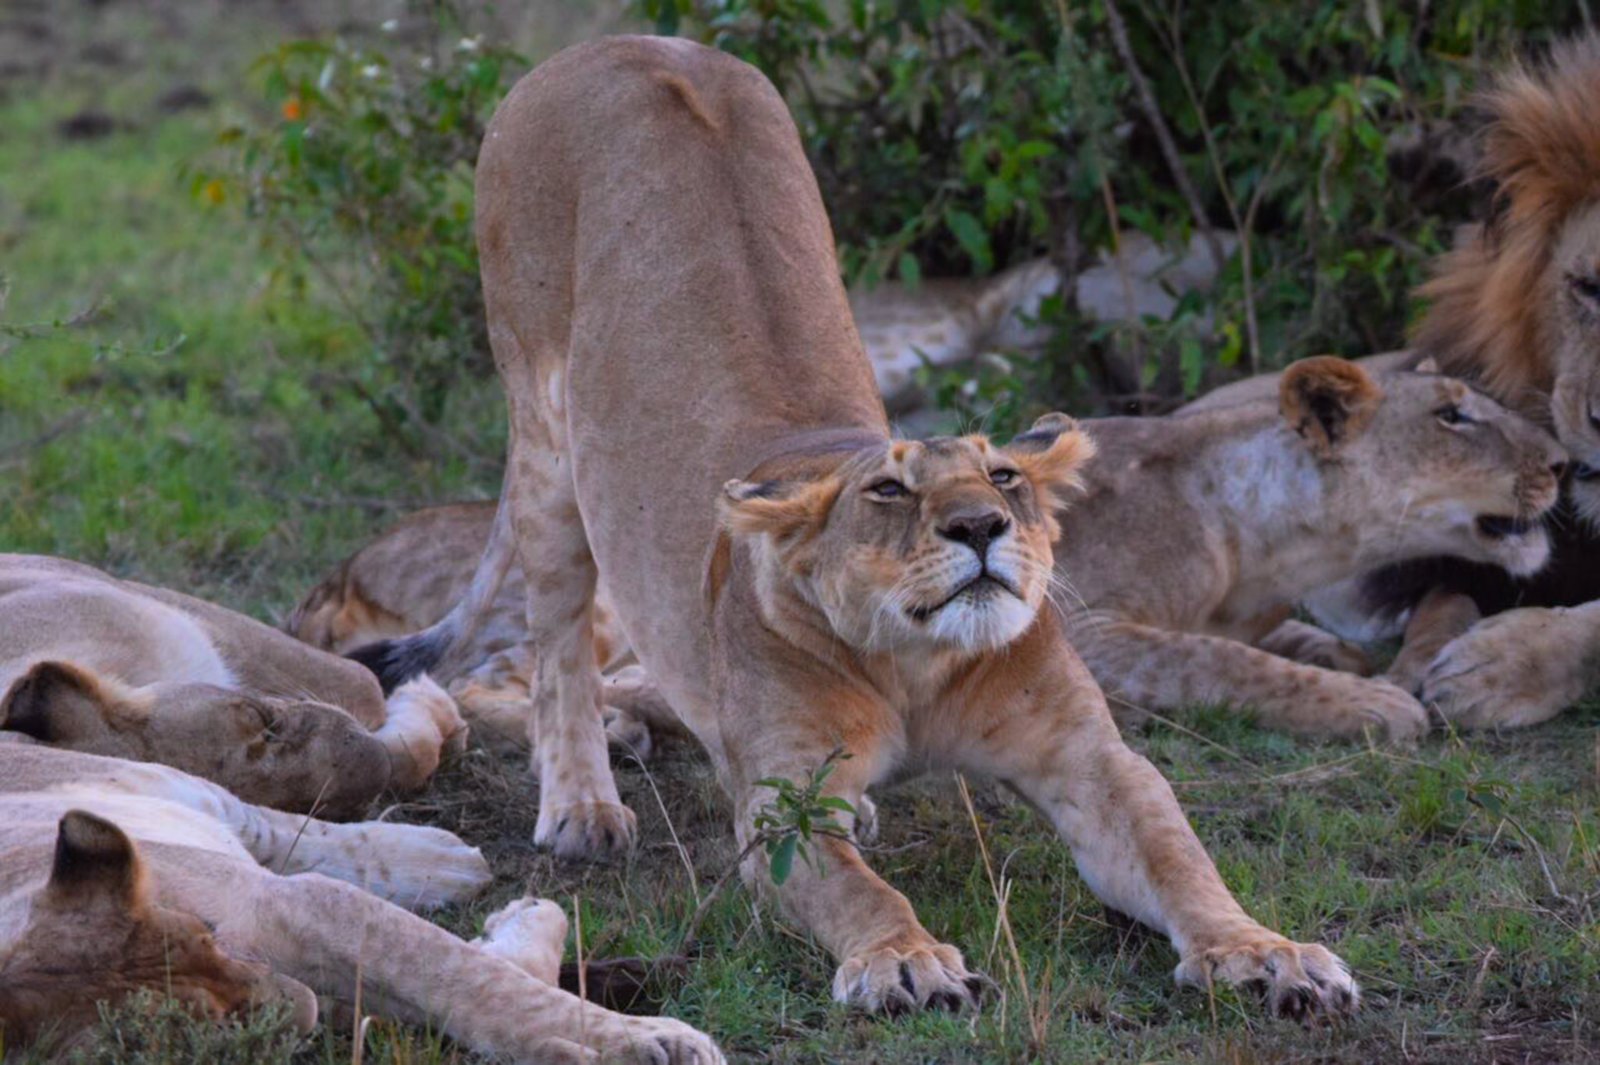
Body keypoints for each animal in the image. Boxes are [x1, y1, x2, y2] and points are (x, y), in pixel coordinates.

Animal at [0, 744, 722, 1063]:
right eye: (209, 1032)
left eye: (206, 936)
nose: (305, 1008)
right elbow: (482, 992)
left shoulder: (298, 904)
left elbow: (473, 978)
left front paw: (659, 1038)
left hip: (168, 787)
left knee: (277, 826)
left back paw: (448, 861)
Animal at [302, 355, 1562, 746]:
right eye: (1456, 414)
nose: (1564, 459)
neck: (1259, 536)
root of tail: (346, 561)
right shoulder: (1086, 628)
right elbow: (1226, 663)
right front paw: (1376, 706)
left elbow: (1284, 641)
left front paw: (1351, 659)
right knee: (492, 677)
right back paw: (612, 729)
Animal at [350, 37, 1358, 1019]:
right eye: (889, 491)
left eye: (1004, 477)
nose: (982, 525)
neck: (915, 668)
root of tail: (615, 42)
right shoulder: (783, 809)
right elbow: (860, 891)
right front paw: (903, 962)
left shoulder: (1095, 763)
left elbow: (1178, 857)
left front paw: (1263, 952)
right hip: (546, 440)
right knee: (558, 648)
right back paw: (584, 810)